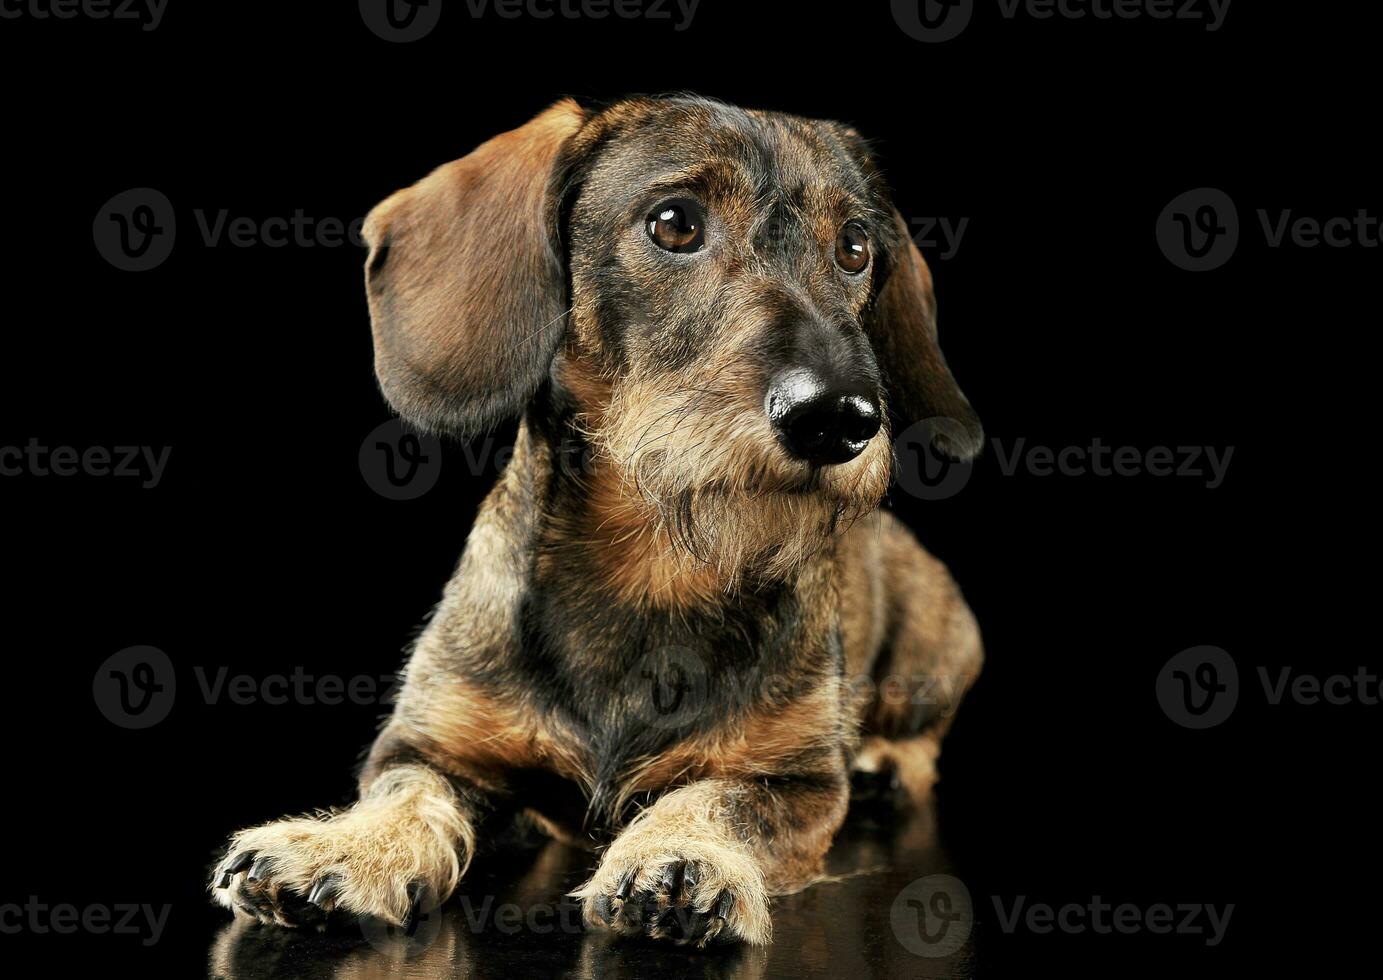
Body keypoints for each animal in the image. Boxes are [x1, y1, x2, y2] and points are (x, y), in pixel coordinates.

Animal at [207, 95, 984, 945]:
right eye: (674, 224)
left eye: (853, 248)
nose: (837, 418)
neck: (652, 567)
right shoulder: (431, 744)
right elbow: (407, 793)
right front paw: (345, 846)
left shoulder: (798, 782)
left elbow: (718, 798)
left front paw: (682, 856)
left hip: (931, 657)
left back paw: (884, 764)